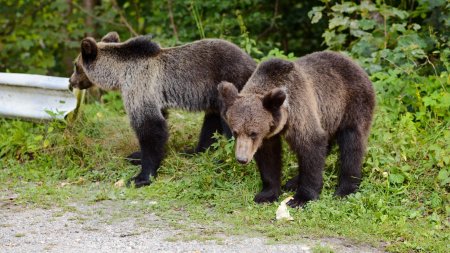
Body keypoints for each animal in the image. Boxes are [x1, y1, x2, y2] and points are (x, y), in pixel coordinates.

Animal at [68, 31, 255, 187]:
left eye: (76, 66)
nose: (71, 81)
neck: (120, 74)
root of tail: (253, 64)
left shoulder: (140, 86)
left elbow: (151, 128)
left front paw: (141, 177)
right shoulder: (155, 97)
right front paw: (136, 155)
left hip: (231, 82)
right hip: (214, 96)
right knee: (211, 122)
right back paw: (194, 151)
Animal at [218, 51, 376, 208]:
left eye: (253, 133)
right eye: (235, 132)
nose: (242, 159)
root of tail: (355, 63)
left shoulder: (299, 110)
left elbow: (311, 146)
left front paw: (301, 198)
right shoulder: (268, 134)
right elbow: (269, 158)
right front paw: (267, 194)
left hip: (352, 104)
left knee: (352, 144)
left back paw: (346, 189)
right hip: (329, 117)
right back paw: (293, 182)